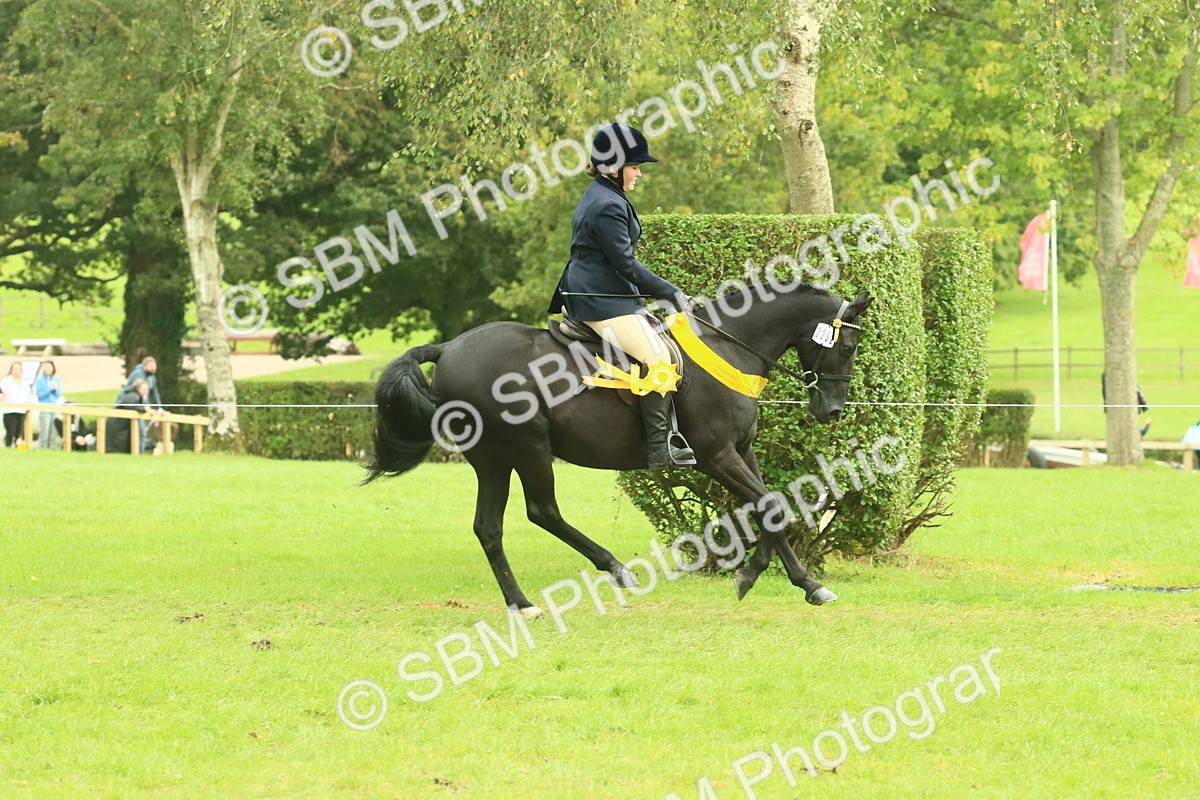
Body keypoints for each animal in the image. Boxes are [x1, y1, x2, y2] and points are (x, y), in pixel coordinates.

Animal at [363, 285, 873, 617]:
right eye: (848, 346)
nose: (833, 411)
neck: (730, 347)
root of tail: (449, 347)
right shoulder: (716, 456)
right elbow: (771, 506)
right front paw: (755, 576)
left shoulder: (741, 451)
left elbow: (771, 507)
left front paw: (805, 584)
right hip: (526, 449)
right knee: (542, 511)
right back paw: (614, 569)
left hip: (493, 459)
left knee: (489, 528)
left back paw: (523, 605)